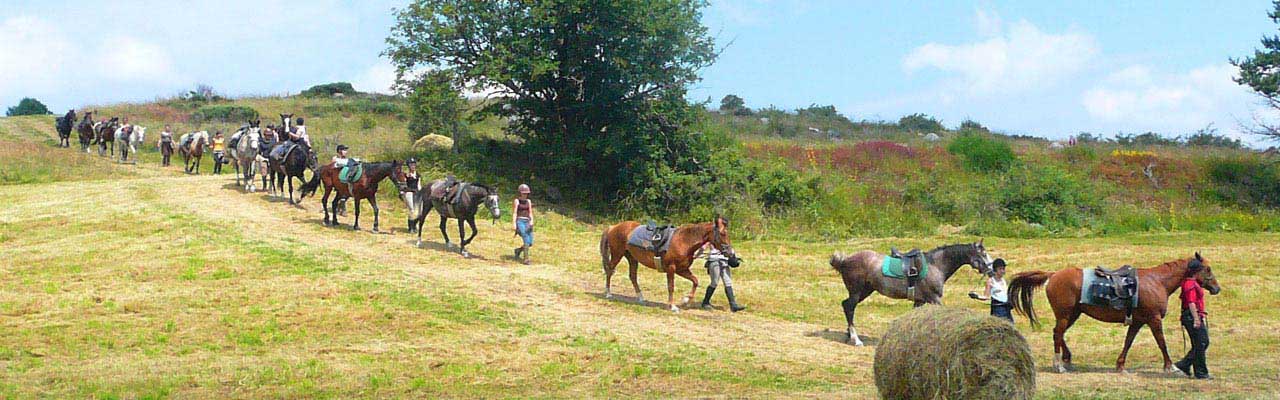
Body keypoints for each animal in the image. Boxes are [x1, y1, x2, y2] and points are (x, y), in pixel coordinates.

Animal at [601, 215, 742, 312]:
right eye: (723, 233)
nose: (731, 254)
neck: (684, 241)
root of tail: (613, 227)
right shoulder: (671, 269)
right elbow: (671, 286)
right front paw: (672, 306)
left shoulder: (682, 269)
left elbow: (695, 281)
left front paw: (685, 300)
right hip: (617, 255)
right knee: (610, 270)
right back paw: (608, 293)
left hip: (632, 258)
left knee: (633, 277)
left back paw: (640, 298)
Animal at [824, 241, 993, 346]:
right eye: (983, 254)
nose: (991, 270)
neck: (935, 265)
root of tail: (845, 260)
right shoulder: (934, 299)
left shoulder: (919, 301)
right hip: (857, 291)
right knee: (849, 308)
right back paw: (856, 339)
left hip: (865, 291)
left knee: (846, 306)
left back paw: (849, 335)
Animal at [1008, 255, 1218, 374]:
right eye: (1207, 268)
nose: (1217, 288)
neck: (1157, 281)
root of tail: (1053, 275)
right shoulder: (1154, 319)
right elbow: (1161, 342)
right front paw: (1171, 366)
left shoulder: (1138, 321)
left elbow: (1128, 341)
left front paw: (1120, 365)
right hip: (1065, 315)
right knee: (1058, 334)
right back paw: (1059, 365)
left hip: (1073, 314)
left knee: (1057, 334)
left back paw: (1066, 359)